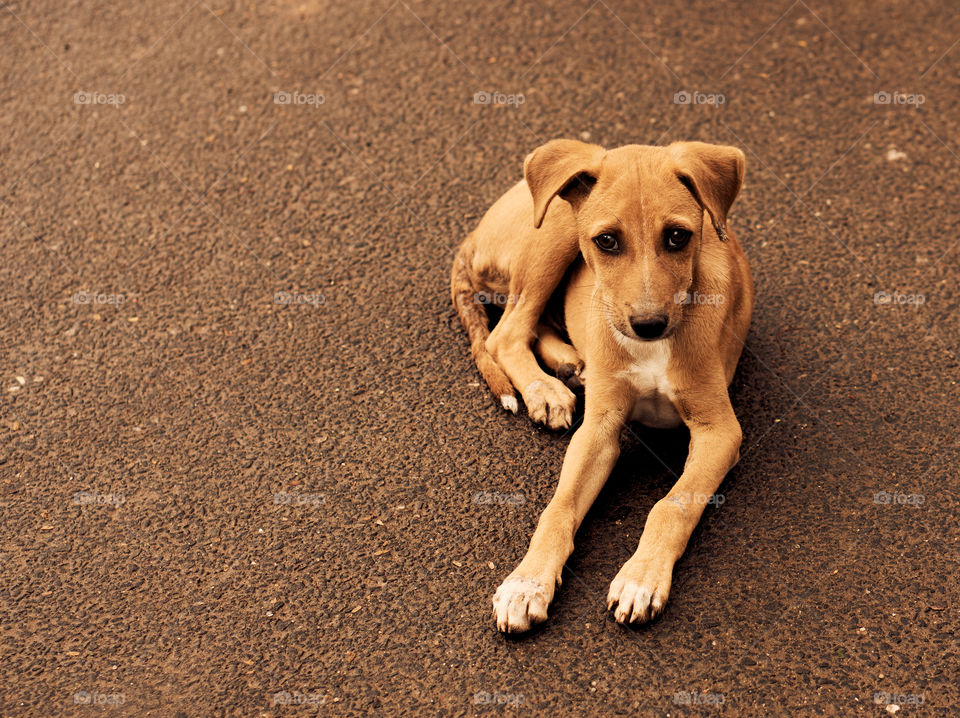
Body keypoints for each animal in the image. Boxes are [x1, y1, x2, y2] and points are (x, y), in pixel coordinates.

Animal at [454, 138, 752, 632]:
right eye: (607, 240)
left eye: (678, 236)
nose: (648, 324)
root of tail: (471, 236)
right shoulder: (599, 429)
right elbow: (557, 509)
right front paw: (526, 583)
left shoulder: (719, 431)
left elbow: (670, 506)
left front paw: (640, 578)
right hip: (553, 227)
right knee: (507, 332)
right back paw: (545, 389)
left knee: (529, 326)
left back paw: (570, 367)